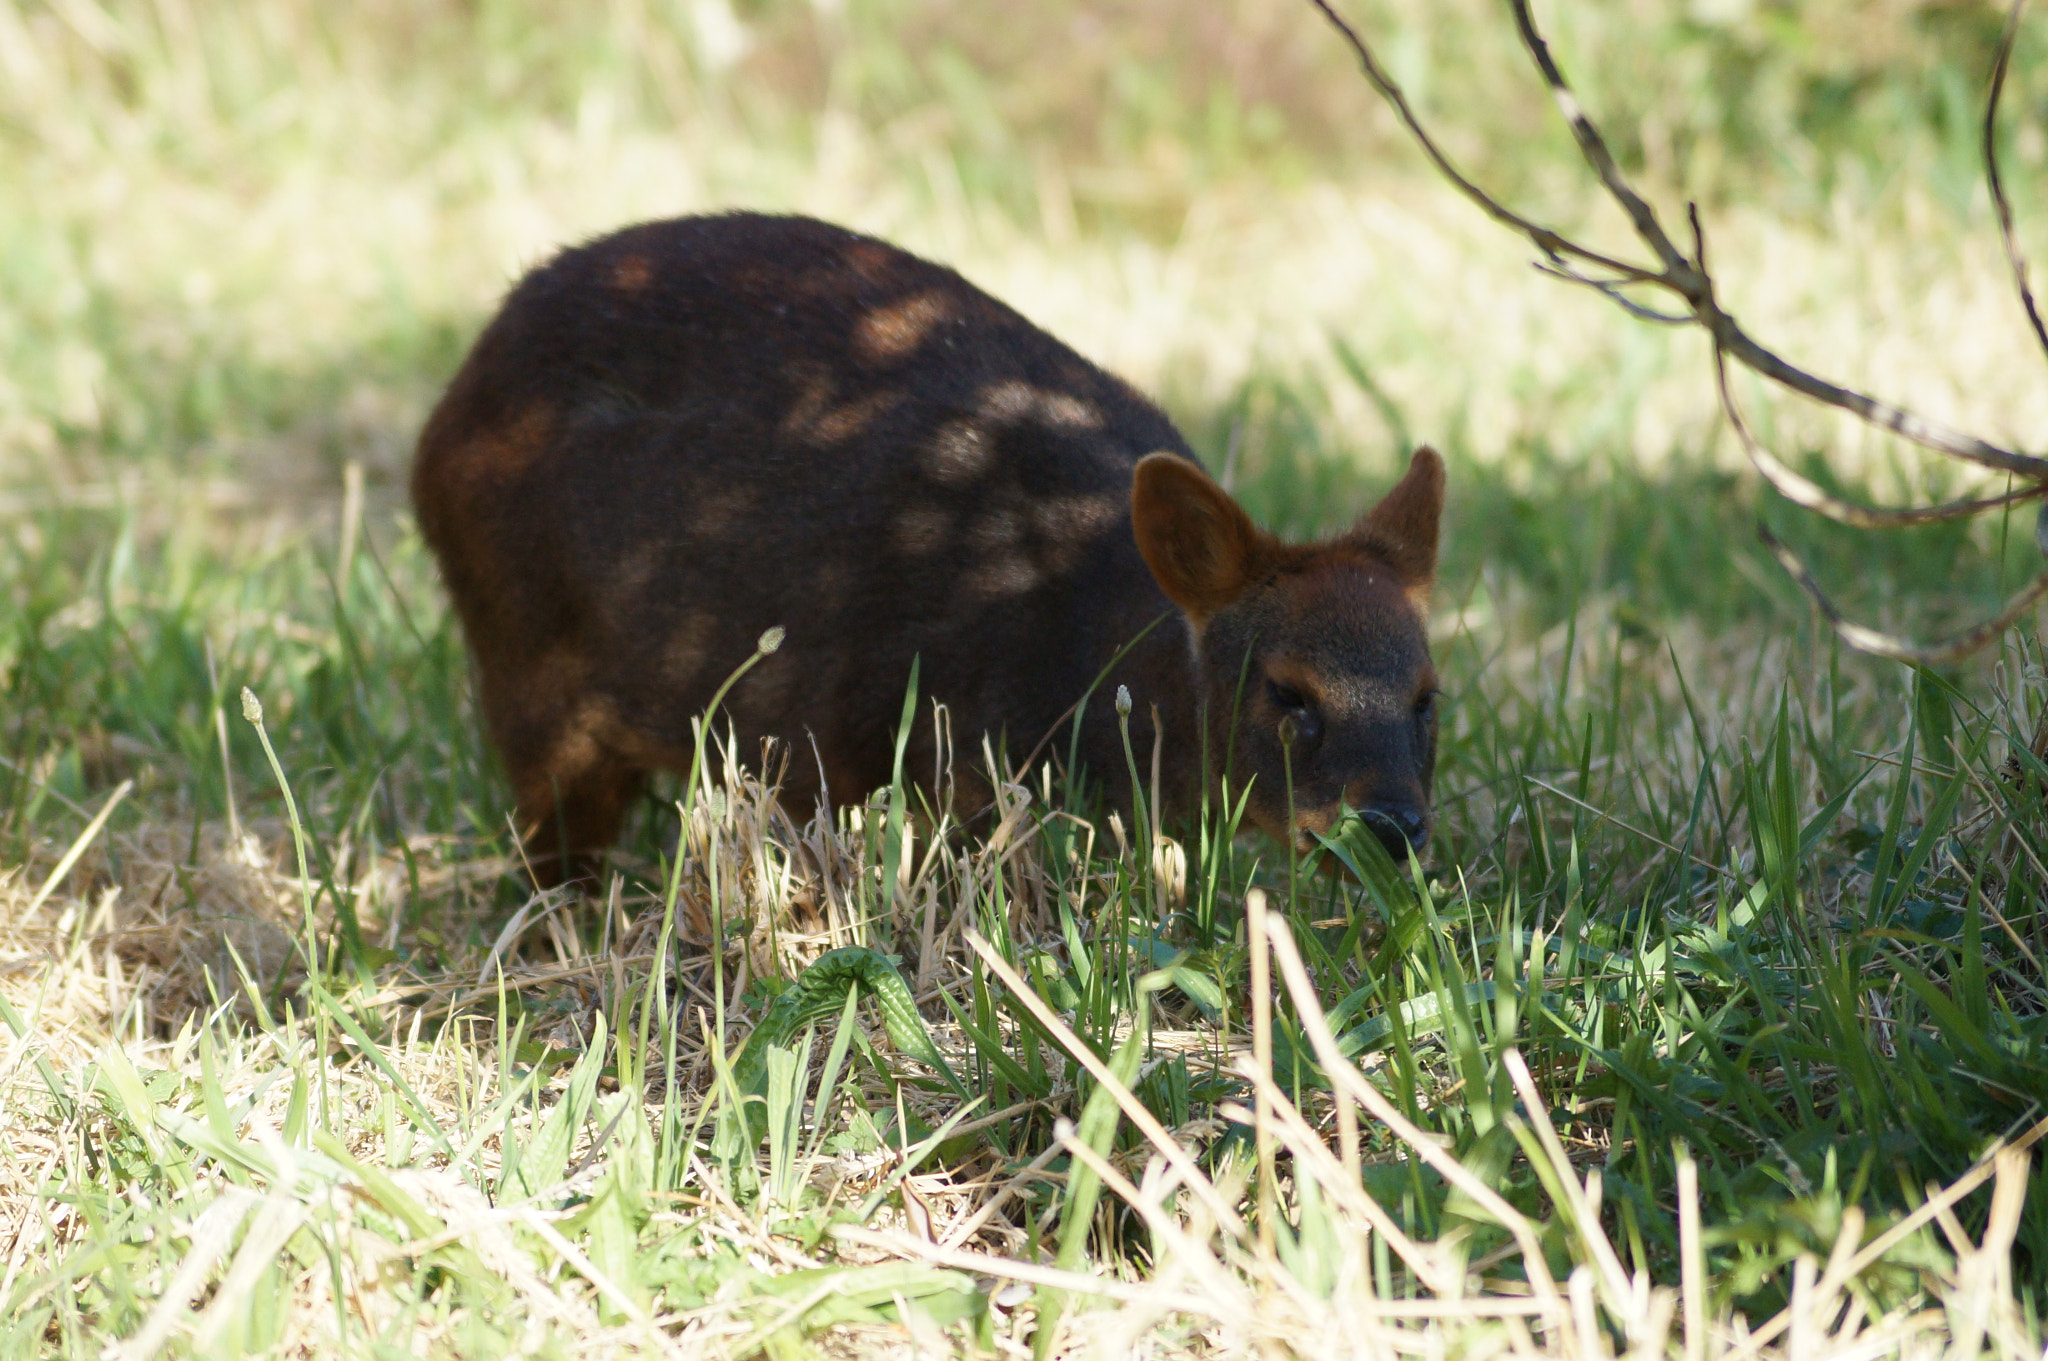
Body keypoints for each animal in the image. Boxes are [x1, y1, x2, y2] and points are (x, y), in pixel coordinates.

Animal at [411, 212, 1441, 880]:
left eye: (1429, 696)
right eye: (1286, 690)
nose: (1393, 824)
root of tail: (438, 424)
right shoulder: (949, 755)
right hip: (529, 666)